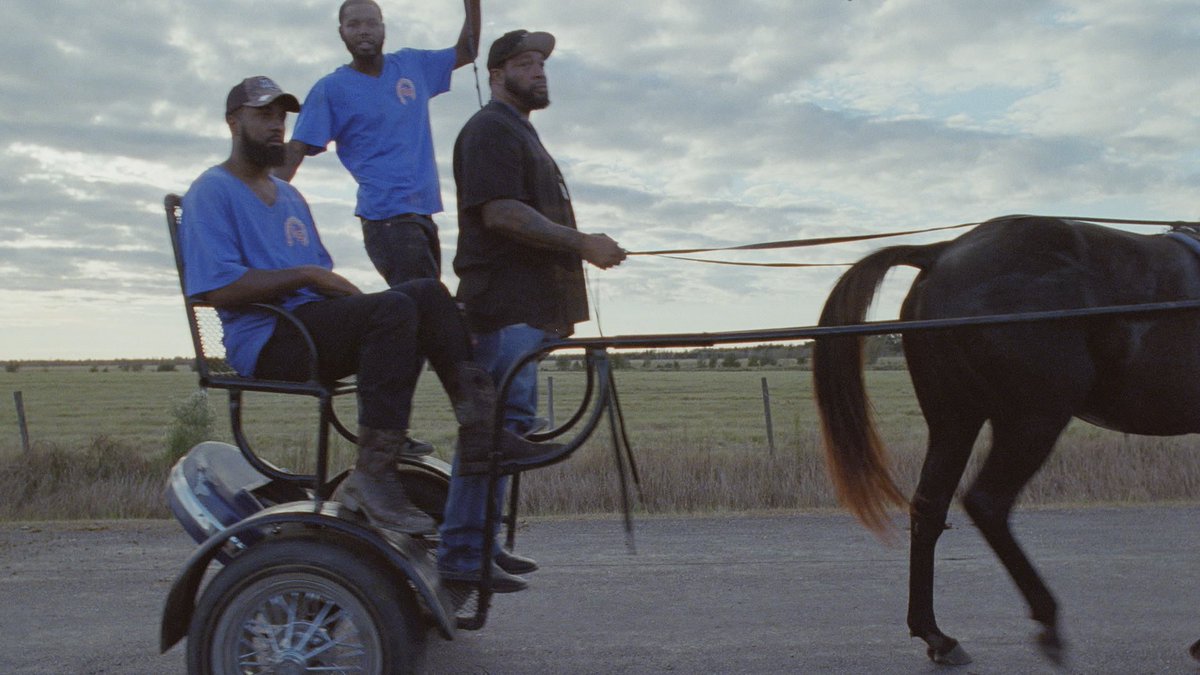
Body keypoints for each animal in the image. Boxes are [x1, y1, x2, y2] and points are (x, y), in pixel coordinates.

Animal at [812, 214, 1200, 666]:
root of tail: (943, 252)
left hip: (955, 419)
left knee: (928, 507)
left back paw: (935, 634)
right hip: (1033, 419)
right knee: (988, 502)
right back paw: (1046, 616)